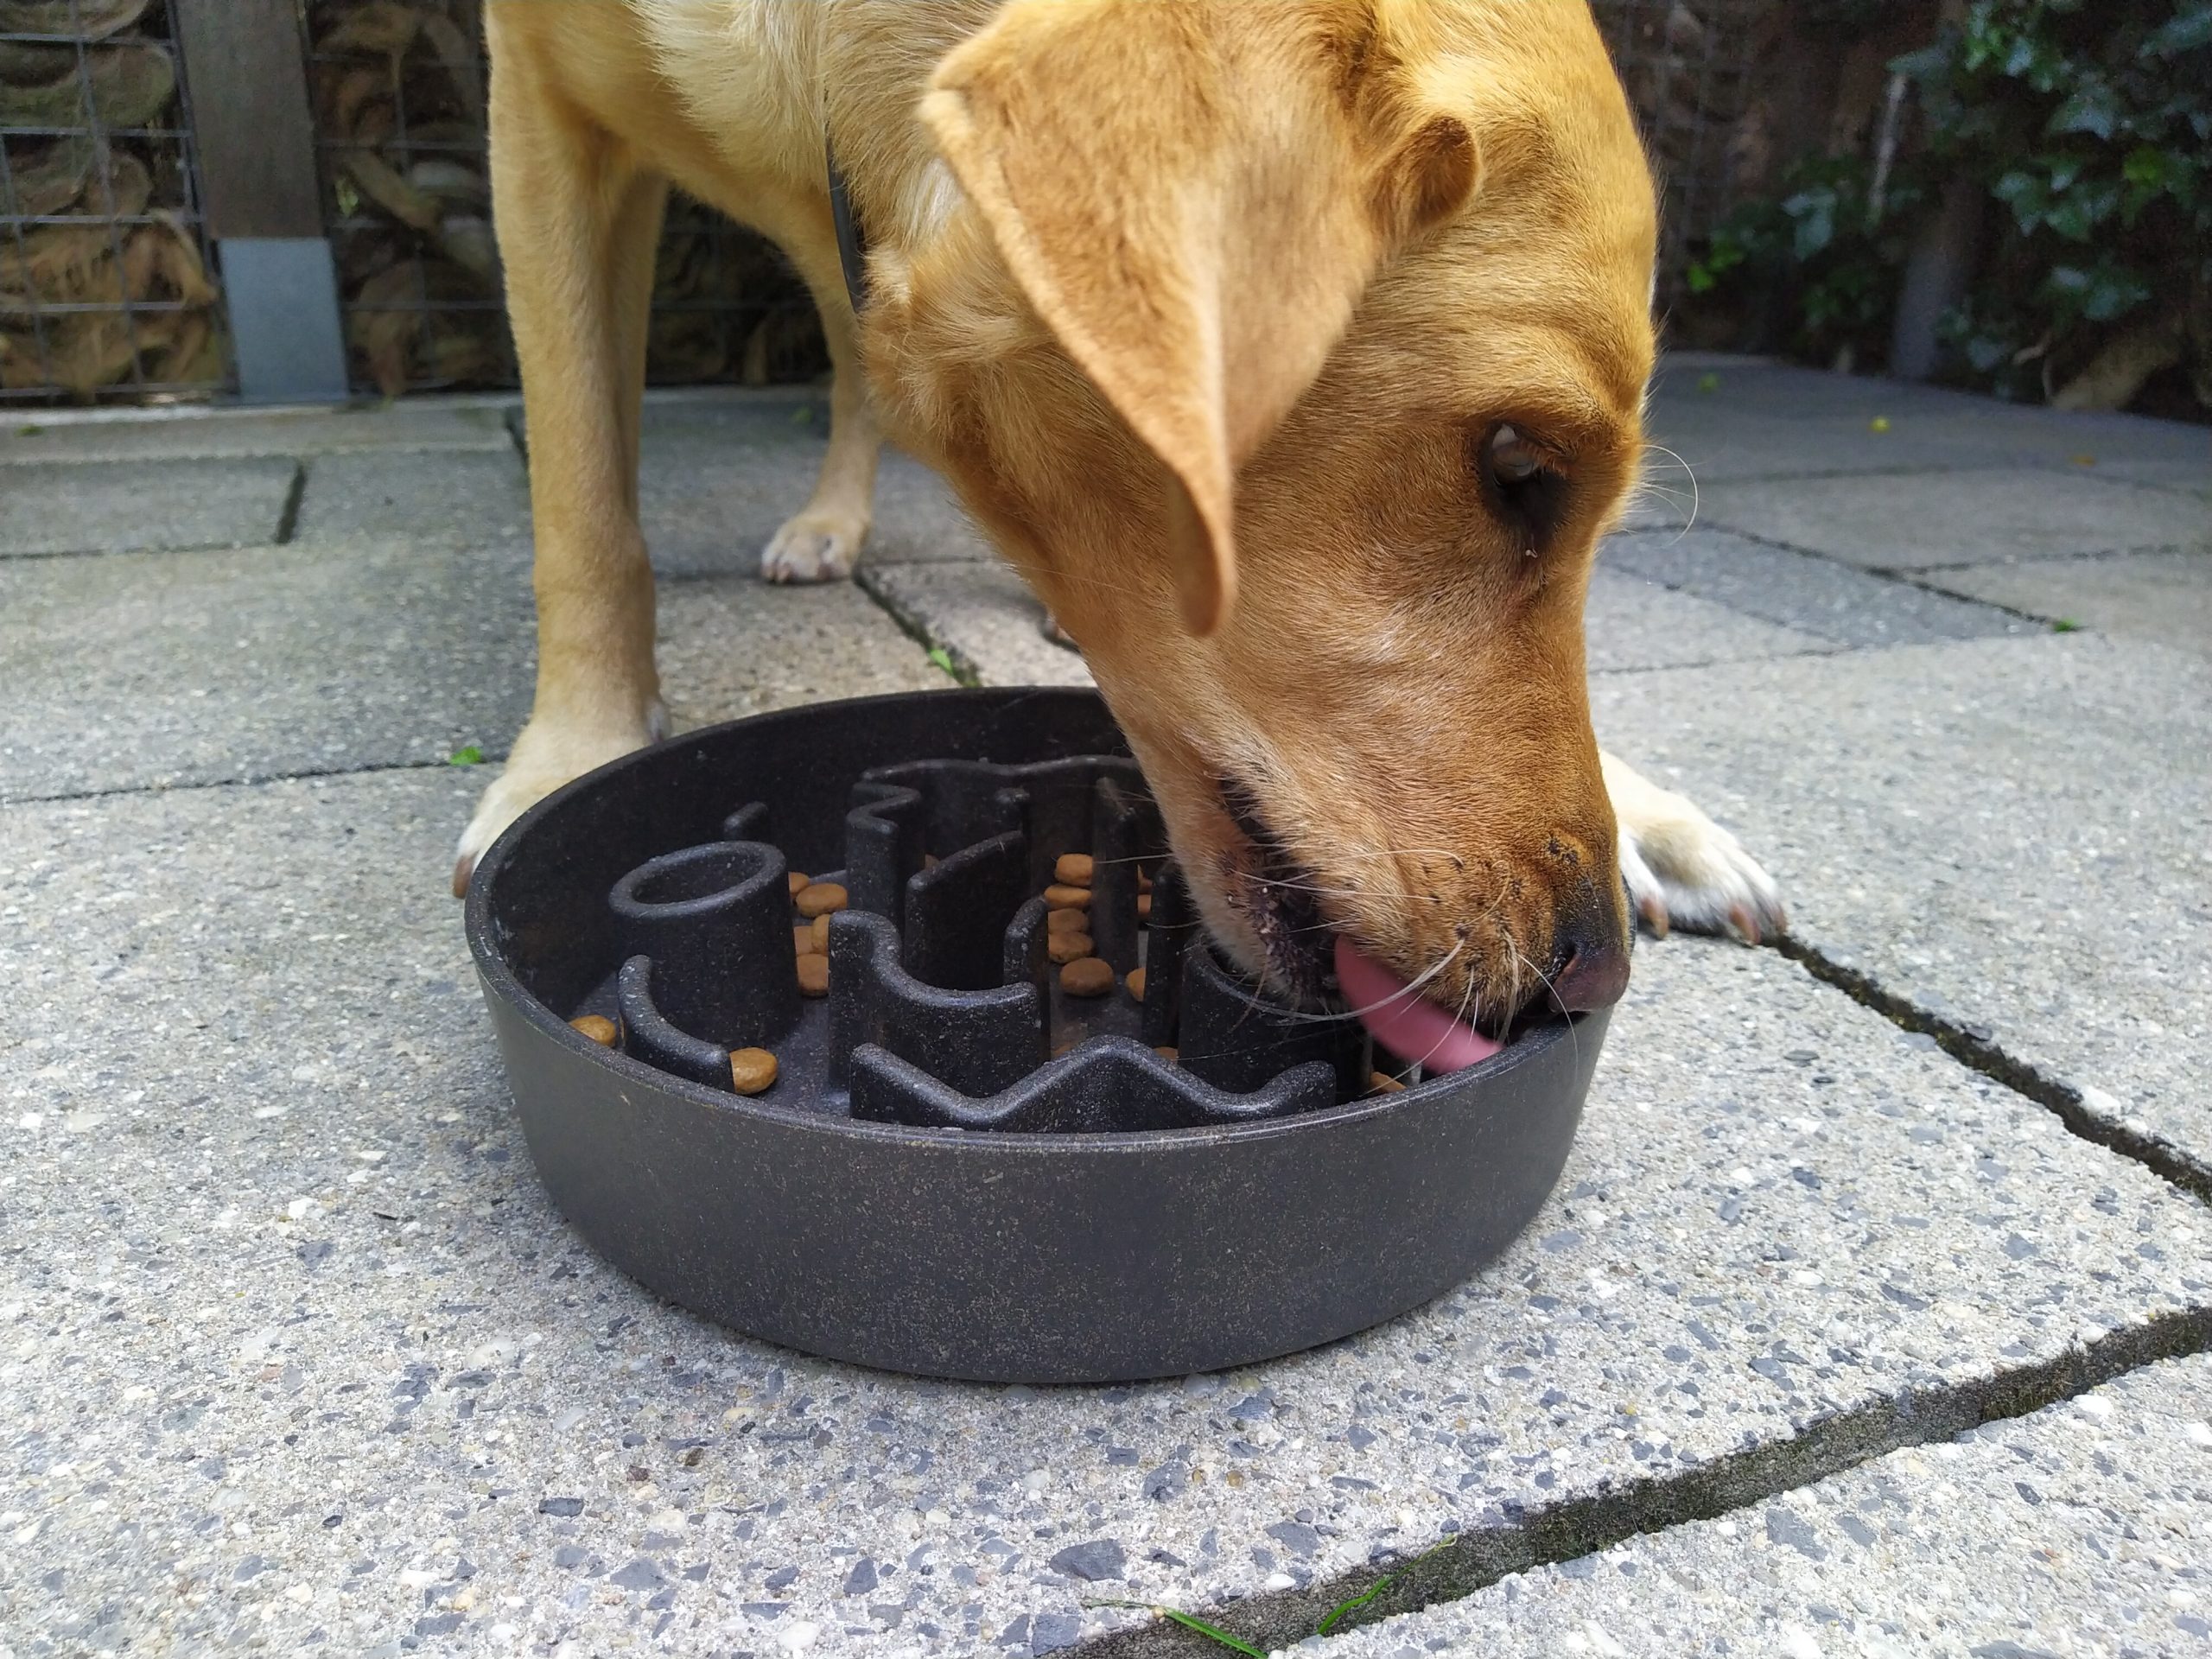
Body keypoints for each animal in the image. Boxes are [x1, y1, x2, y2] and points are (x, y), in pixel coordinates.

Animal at [462, 3, 1778, 1052]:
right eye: (1517, 466)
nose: (1593, 974)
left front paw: (1648, 815)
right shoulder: (535, 108)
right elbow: (580, 498)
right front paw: (571, 752)